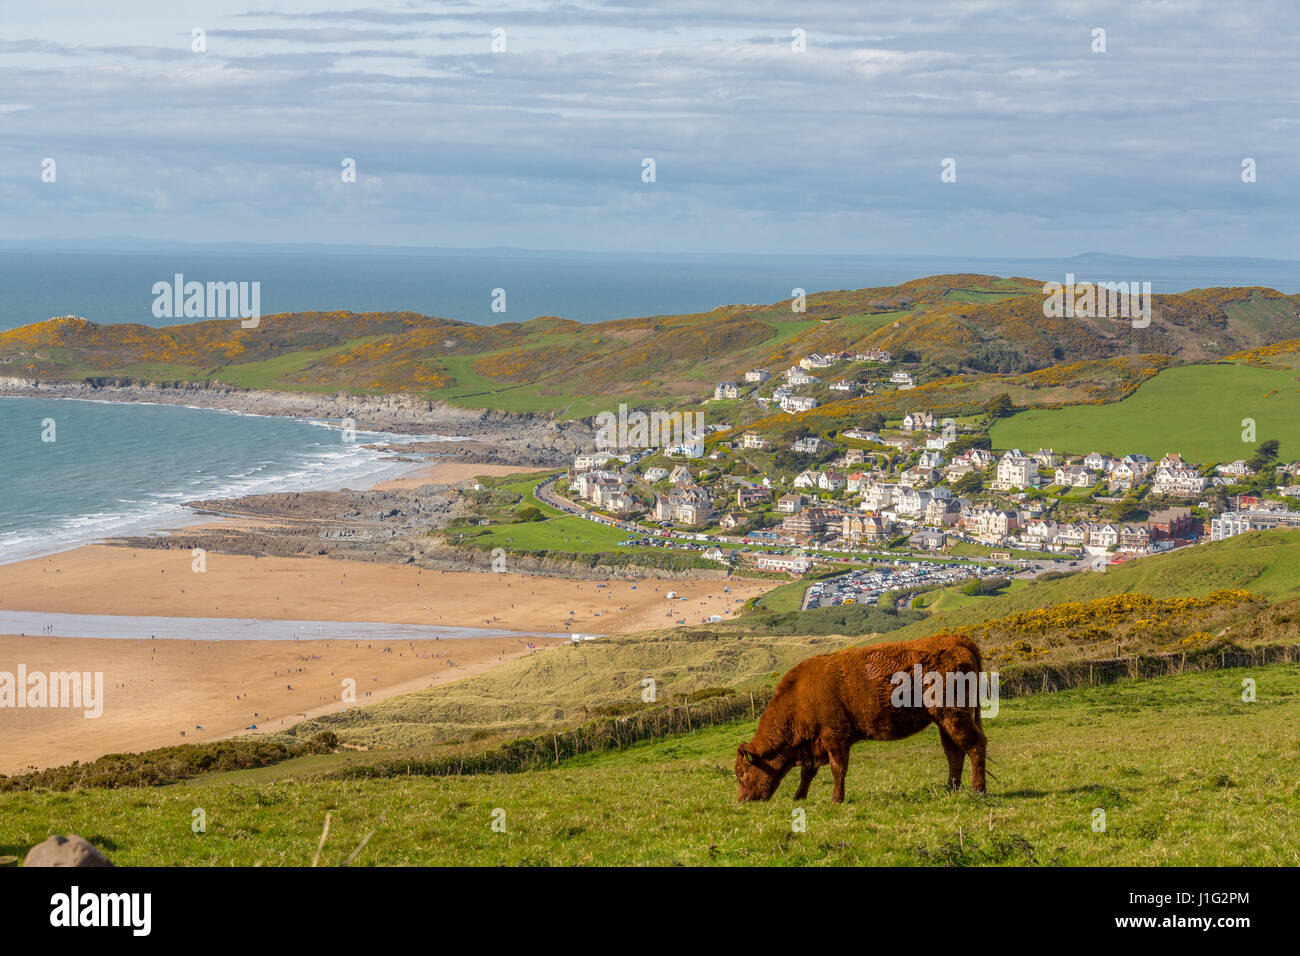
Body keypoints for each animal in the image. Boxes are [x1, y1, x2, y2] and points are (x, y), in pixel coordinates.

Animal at [743, 632, 982, 806]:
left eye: (742, 774)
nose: (743, 800)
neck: (800, 696)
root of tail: (957, 639)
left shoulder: (835, 738)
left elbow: (837, 770)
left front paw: (836, 800)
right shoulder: (814, 746)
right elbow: (807, 774)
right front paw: (798, 797)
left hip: (954, 715)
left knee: (975, 745)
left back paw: (979, 790)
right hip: (945, 721)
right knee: (954, 752)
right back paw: (952, 790)